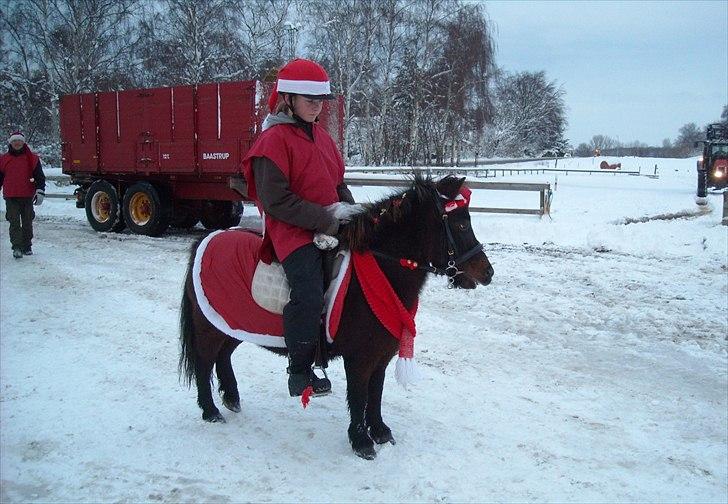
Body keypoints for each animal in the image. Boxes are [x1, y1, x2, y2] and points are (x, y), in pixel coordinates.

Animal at [178, 175, 494, 458]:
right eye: (461, 223)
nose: (488, 272)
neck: (379, 272)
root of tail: (207, 238)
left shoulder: (381, 354)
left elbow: (375, 394)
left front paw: (380, 431)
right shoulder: (359, 357)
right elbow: (358, 396)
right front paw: (361, 441)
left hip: (232, 324)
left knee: (223, 356)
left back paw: (231, 398)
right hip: (209, 328)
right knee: (205, 362)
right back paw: (210, 411)